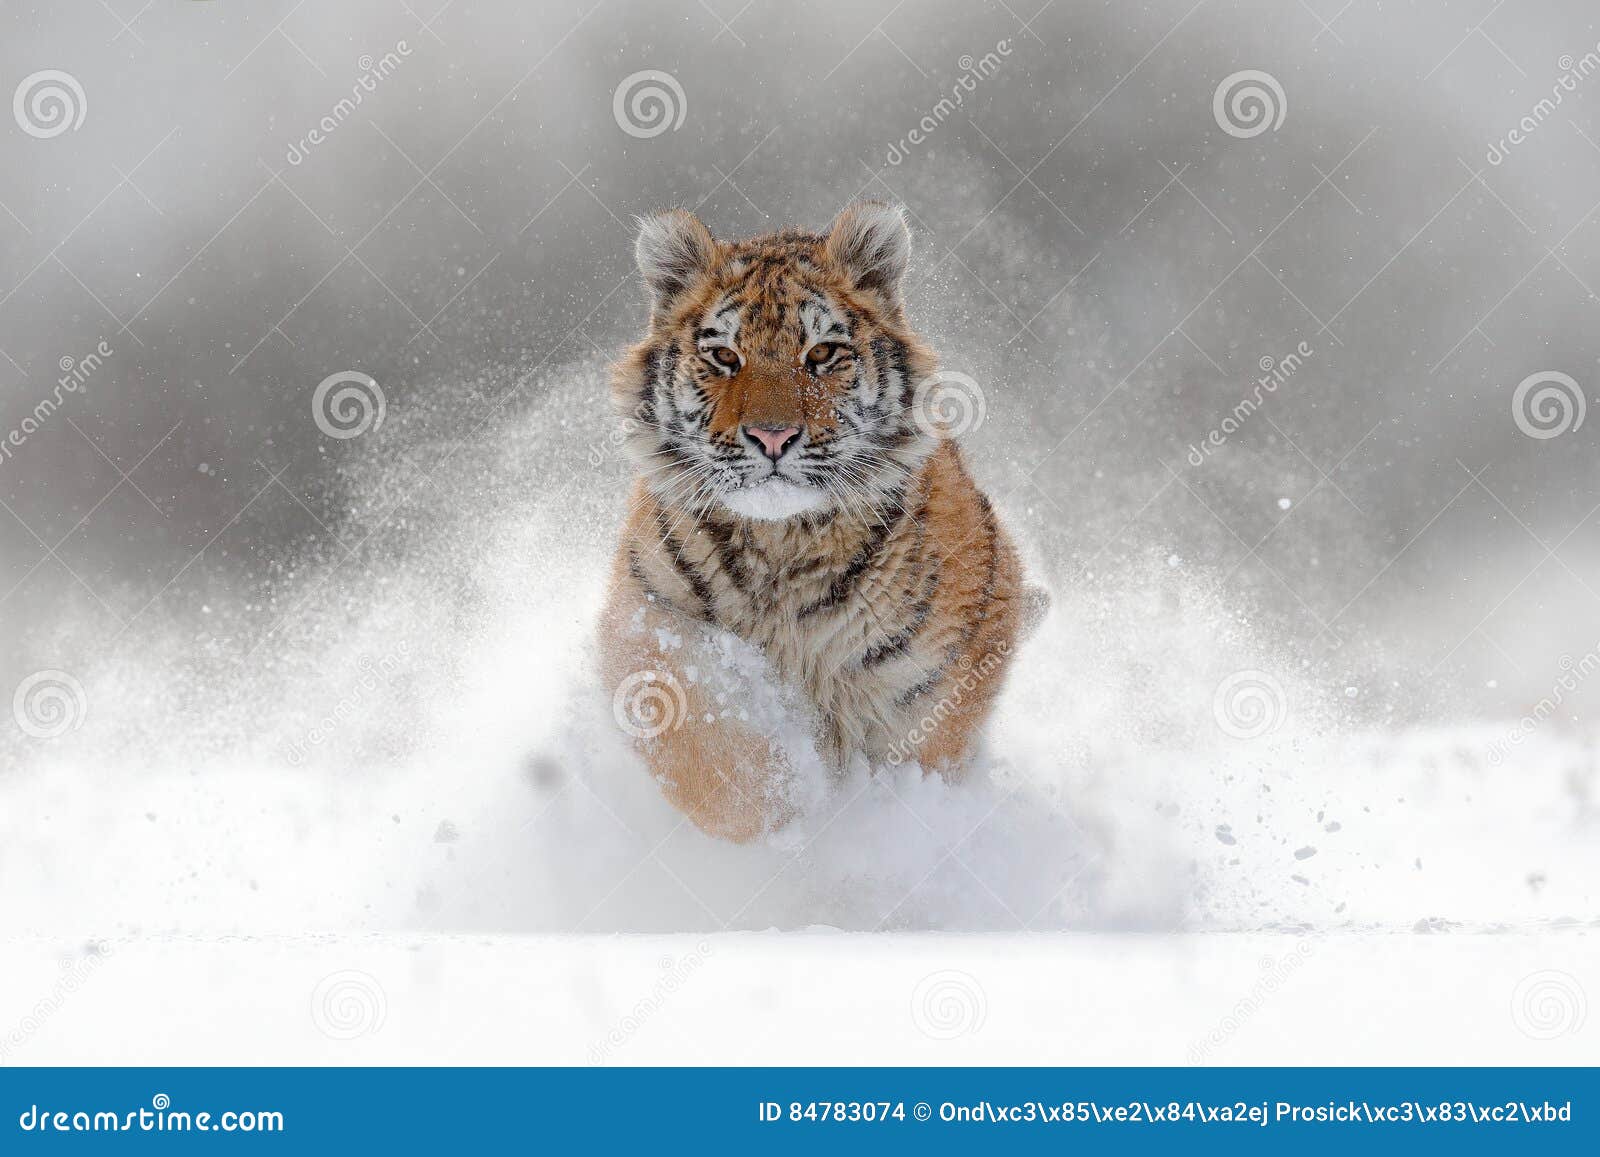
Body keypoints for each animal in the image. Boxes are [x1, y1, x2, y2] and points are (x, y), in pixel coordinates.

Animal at [601, 204, 1036, 844]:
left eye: (823, 353)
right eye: (725, 357)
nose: (772, 436)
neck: (781, 544)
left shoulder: (945, 668)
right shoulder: (646, 617)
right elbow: (701, 745)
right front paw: (783, 807)